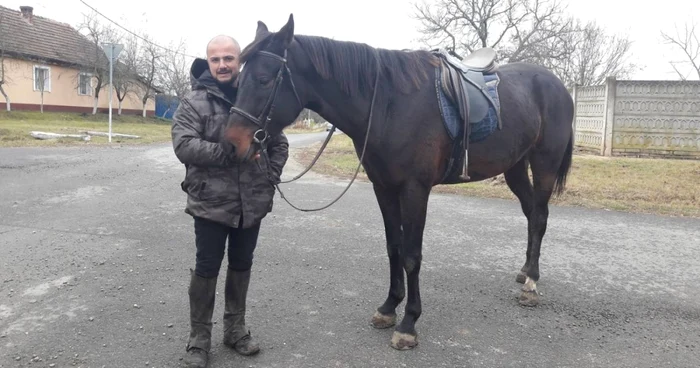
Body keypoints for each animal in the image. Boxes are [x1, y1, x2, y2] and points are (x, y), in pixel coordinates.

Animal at [224, 14, 576, 350]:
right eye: (238, 79)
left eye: (264, 80)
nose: (231, 144)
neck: (388, 104)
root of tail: (557, 84)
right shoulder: (384, 187)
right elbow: (393, 246)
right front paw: (388, 308)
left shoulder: (414, 189)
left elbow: (411, 254)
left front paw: (408, 324)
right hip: (515, 167)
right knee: (530, 213)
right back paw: (525, 272)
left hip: (544, 163)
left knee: (540, 216)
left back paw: (531, 285)